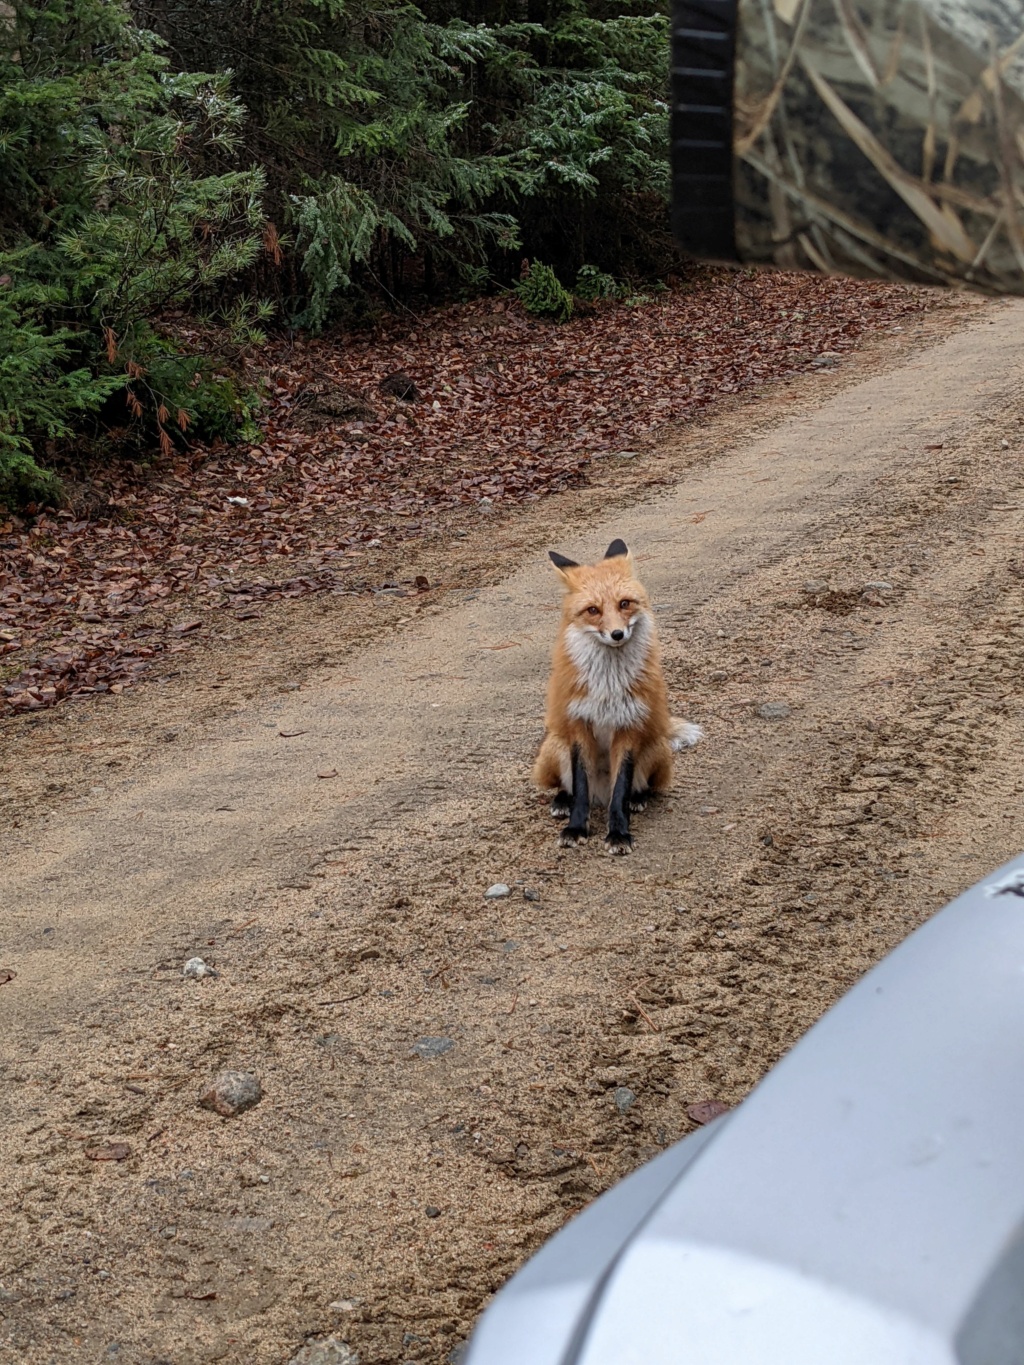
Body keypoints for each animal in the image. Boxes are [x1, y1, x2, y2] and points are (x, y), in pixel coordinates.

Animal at [532, 535, 704, 846]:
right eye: (593, 610)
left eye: (624, 604)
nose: (617, 634)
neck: (607, 684)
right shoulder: (579, 724)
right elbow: (580, 786)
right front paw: (576, 828)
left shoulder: (628, 726)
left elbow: (621, 790)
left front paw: (619, 833)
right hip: (554, 744)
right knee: (568, 785)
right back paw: (562, 800)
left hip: (655, 748)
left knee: (640, 786)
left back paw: (639, 798)